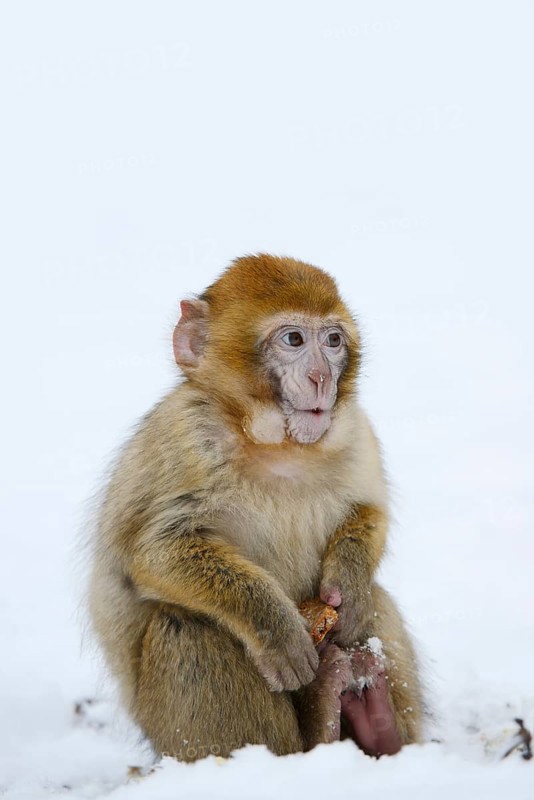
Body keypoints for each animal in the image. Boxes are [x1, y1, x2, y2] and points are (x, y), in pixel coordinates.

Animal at [89, 253, 424, 762]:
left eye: (332, 341)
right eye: (294, 340)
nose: (321, 378)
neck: (276, 445)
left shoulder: (355, 429)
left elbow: (370, 512)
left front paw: (348, 578)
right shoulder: (185, 438)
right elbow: (155, 552)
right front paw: (275, 629)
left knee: (375, 602)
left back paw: (376, 727)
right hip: (167, 731)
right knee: (187, 627)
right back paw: (318, 722)